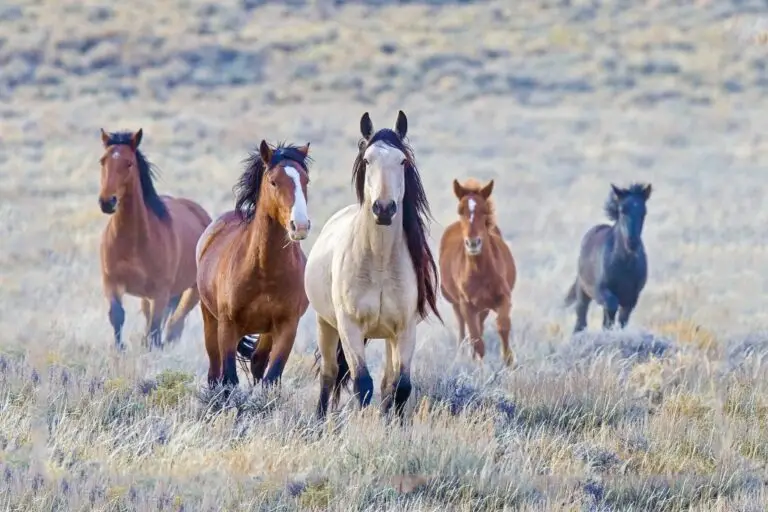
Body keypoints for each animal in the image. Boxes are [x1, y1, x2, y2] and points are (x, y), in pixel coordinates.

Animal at [98, 128, 212, 350]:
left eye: (129, 163)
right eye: (102, 161)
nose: (107, 202)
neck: (133, 242)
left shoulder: (160, 292)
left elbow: (155, 330)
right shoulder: (112, 282)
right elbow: (117, 316)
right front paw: (119, 349)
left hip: (192, 291)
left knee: (174, 325)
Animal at [196, 140, 312, 391]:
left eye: (305, 180)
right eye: (273, 181)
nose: (299, 226)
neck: (264, 272)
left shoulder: (287, 326)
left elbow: (271, 377)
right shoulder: (228, 325)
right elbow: (229, 378)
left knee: (258, 363)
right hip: (211, 319)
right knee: (214, 370)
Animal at [305, 110, 441, 420]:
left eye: (402, 161)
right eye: (367, 160)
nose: (384, 208)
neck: (379, 262)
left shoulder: (405, 330)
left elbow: (400, 386)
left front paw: (393, 426)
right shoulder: (350, 328)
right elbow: (361, 383)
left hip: (389, 338)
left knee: (387, 380)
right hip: (325, 325)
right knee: (329, 374)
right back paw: (320, 420)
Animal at [438, 178, 517, 366]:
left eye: (485, 210)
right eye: (460, 210)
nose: (473, 243)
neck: (480, 273)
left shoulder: (503, 297)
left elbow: (503, 326)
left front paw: (509, 362)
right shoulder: (467, 305)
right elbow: (476, 340)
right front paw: (480, 368)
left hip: (483, 307)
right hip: (457, 303)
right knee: (463, 328)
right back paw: (461, 355)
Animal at [564, 183, 652, 333]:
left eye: (643, 212)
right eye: (622, 210)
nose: (632, 242)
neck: (625, 264)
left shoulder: (632, 298)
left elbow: (622, 320)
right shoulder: (601, 291)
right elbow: (611, 307)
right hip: (583, 292)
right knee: (581, 319)